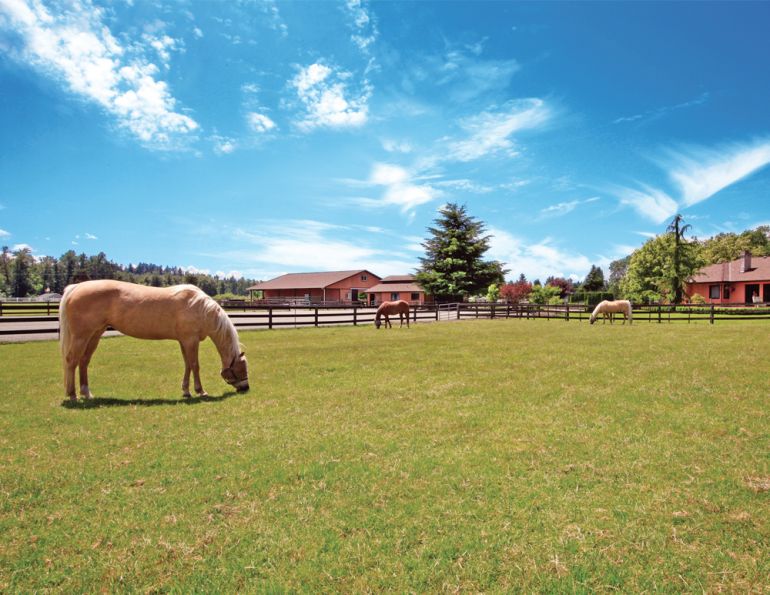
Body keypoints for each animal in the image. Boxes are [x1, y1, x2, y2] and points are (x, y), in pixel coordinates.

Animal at [59, 280, 249, 400]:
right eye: (240, 368)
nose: (245, 388)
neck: (200, 308)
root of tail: (75, 287)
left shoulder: (184, 341)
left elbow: (187, 364)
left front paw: (186, 391)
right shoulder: (191, 340)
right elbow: (195, 365)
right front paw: (200, 391)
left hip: (95, 334)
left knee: (83, 361)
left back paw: (86, 393)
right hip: (81, 336)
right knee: (71, 360)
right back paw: (72, 395)